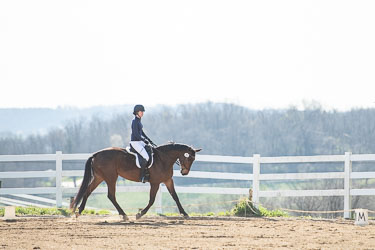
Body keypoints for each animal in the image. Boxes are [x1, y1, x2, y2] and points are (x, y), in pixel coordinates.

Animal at [69, 143, 201, 221]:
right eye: (189, 158)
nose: (184, 172)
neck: (163, 159)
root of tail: (96, 154)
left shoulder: (168, 180)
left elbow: (175, 197)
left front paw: (184, 213)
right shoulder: (155, 183)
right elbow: (152, 200)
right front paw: (140, 214)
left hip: (99, 177)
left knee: (88, 191)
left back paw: (79, 212)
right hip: (111, 177)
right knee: (111, 195)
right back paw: (124, 215)